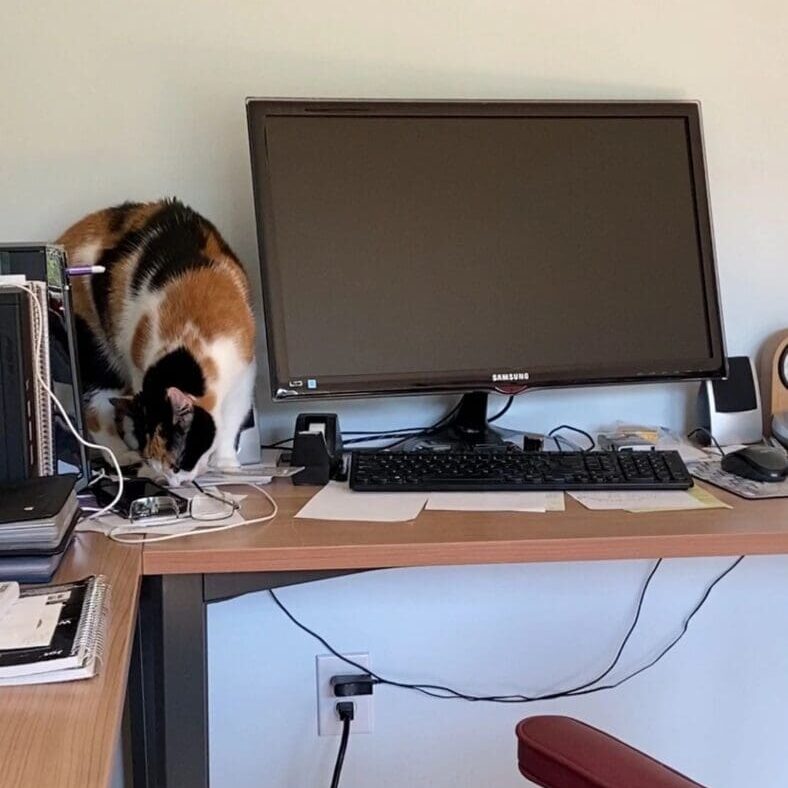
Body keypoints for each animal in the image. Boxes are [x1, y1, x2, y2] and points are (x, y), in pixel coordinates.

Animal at [59, 200, 255, 484]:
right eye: (158, 463)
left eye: (177, 463)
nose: (172, 483)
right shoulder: (137, 361)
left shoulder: (244, 375)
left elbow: (231, 420)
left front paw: (226, 463)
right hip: (95, 345)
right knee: (95, 407)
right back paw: (120, 454)